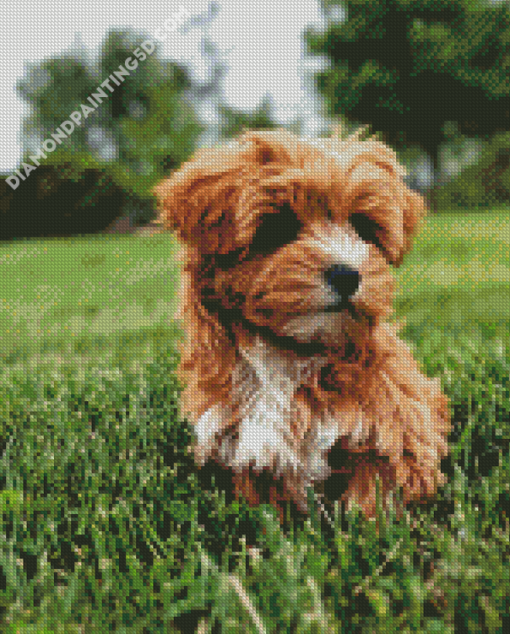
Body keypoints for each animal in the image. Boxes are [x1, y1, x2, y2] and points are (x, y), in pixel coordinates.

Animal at [155, 127, 450, 520]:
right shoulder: (244, 446)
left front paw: (370, 523)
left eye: (362, 227)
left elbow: (374, 494)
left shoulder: (393, 426)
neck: (290, 351)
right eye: (279, 226)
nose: (347, 274)